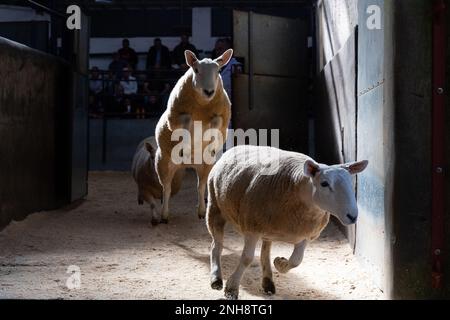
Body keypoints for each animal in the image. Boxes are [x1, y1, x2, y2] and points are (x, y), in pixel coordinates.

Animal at [206, 146, 368, 300]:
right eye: (324, 183)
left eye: (351, 183)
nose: (352, 216)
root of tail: (233, 148)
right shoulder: (252, 228)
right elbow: (247, 258)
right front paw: (231, 288)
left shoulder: (305, 234)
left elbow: (296, 260)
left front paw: (280, 263)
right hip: (215, 207)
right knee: (216, 245)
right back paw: (216, 278)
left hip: (266, 228)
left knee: (265, 251)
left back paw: (268, 281)